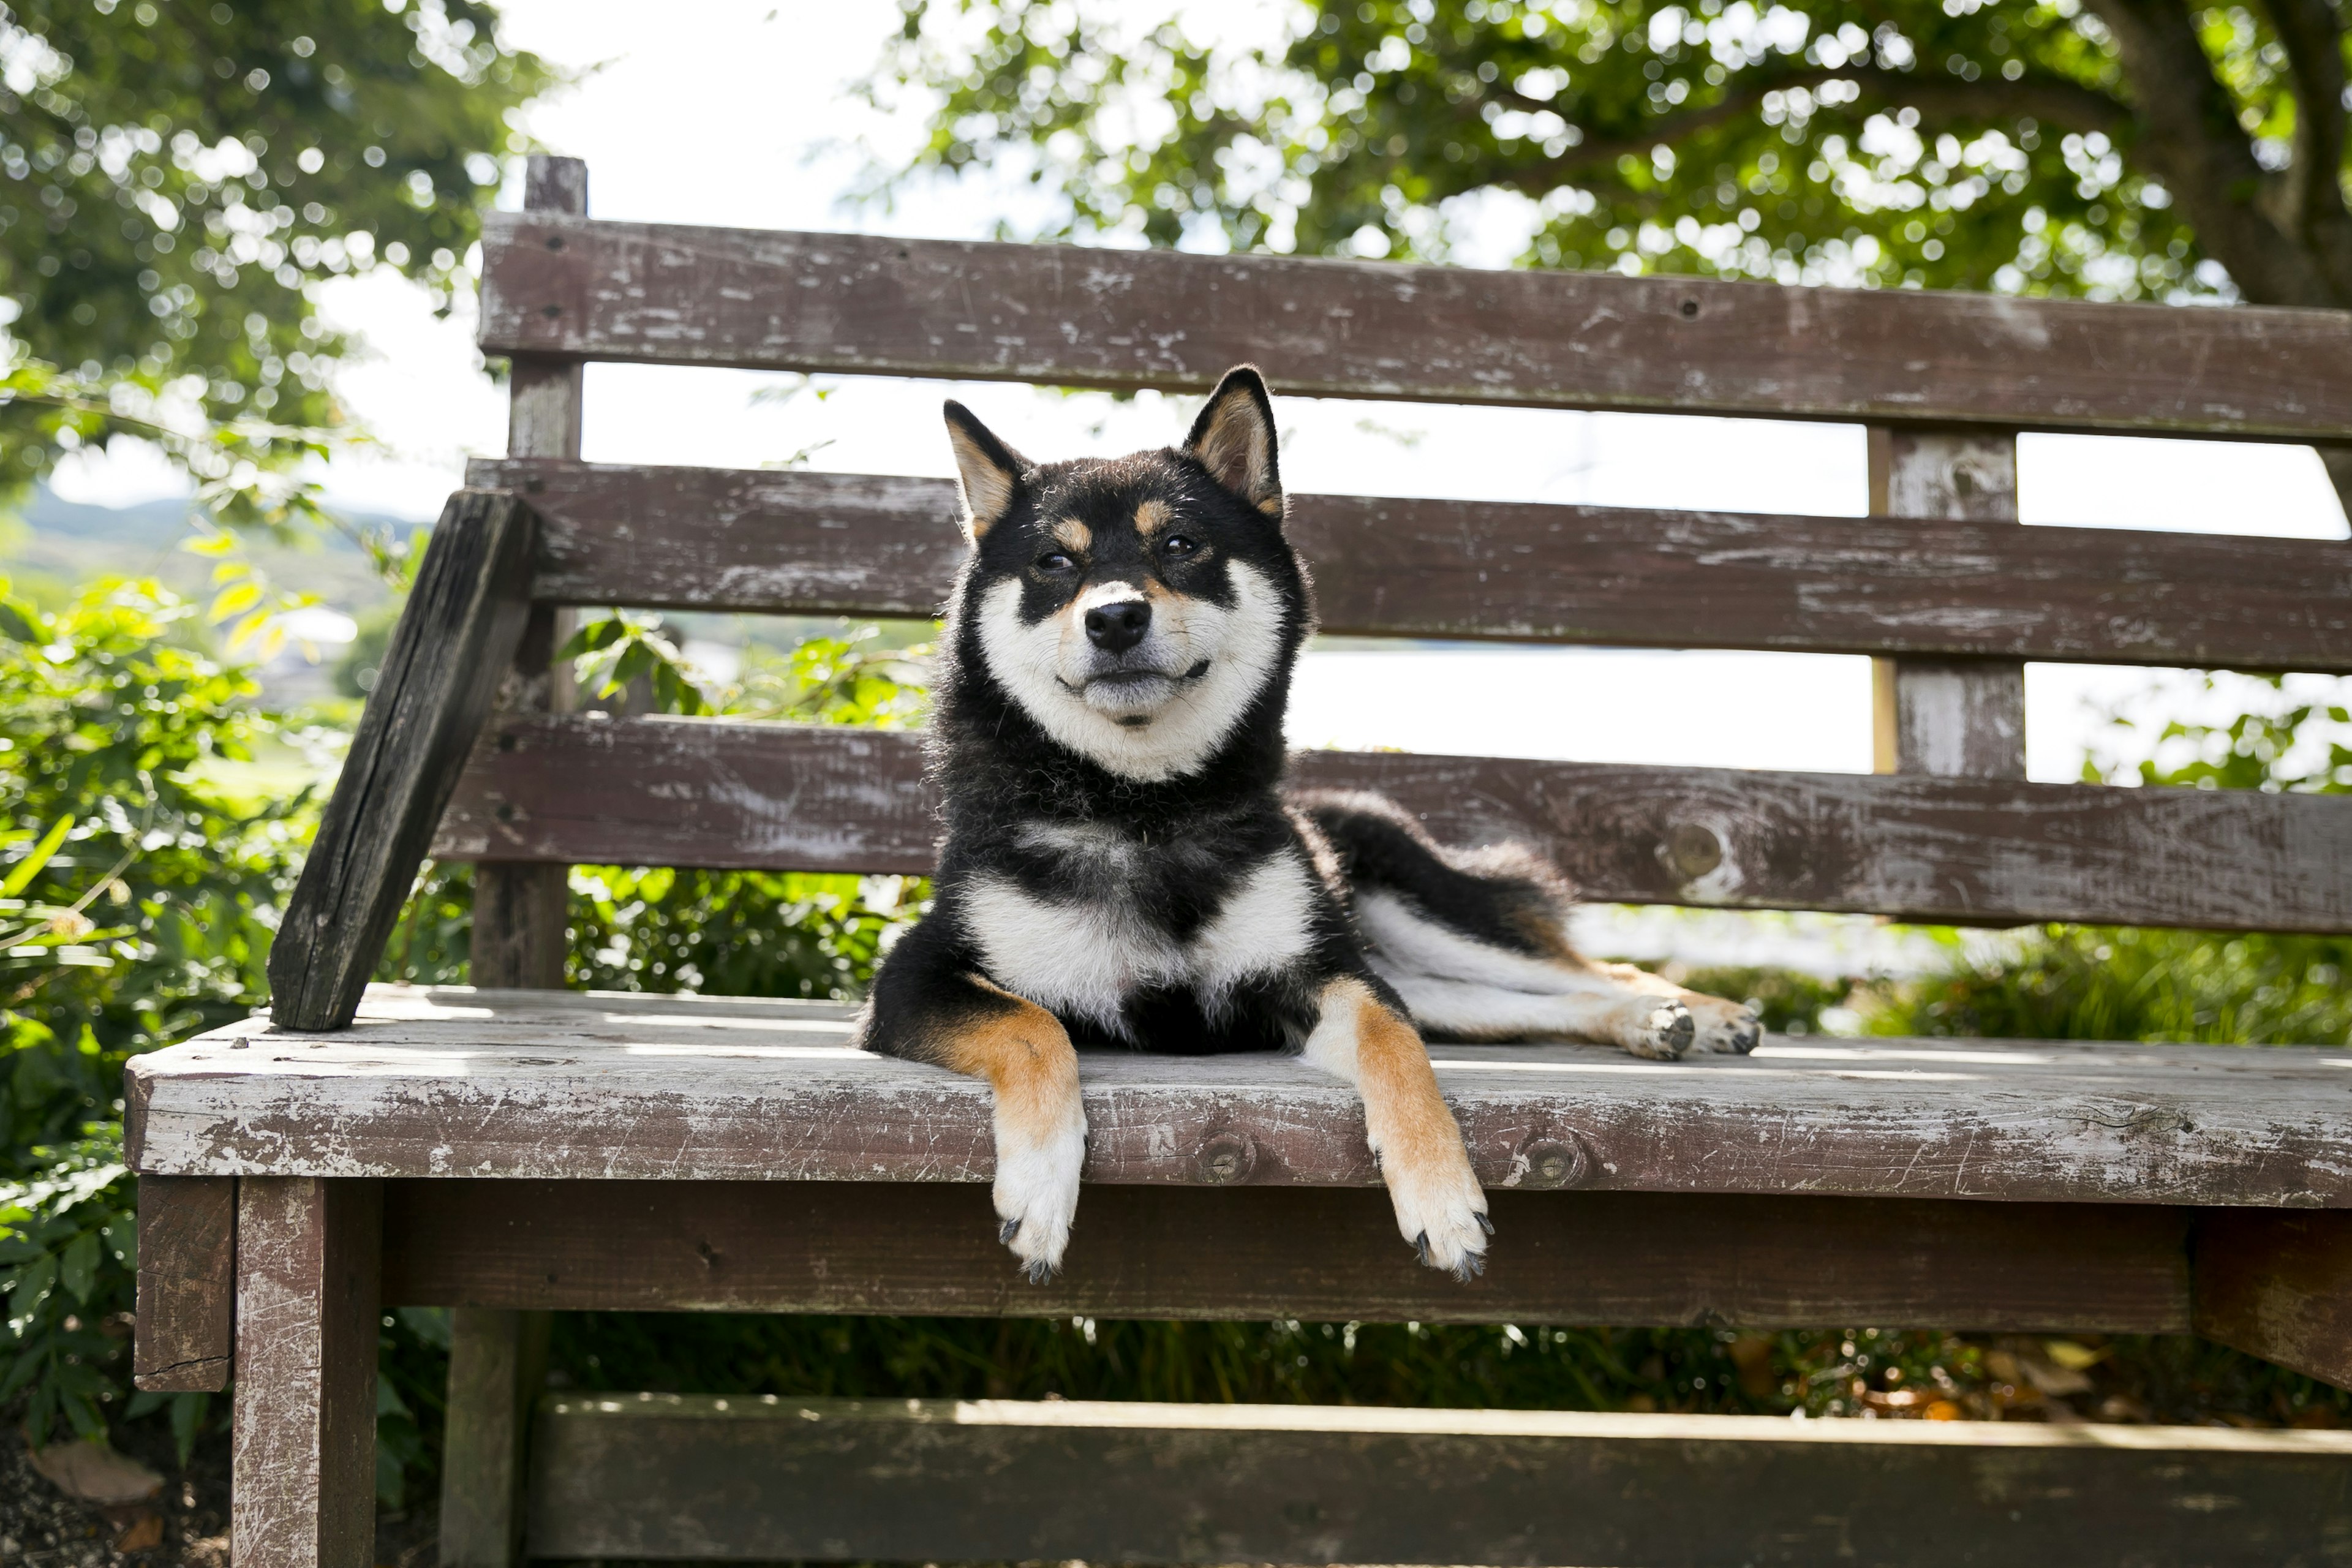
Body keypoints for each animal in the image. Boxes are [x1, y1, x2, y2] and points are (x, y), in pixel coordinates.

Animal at [856, 371, 1759, 1288]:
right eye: (1053, 562)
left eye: (1180, 543)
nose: (1114, 618)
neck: (1146, 810)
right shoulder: (913, 979)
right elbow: (1033, 1028)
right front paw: (1041, 1188)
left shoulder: (1324, 975)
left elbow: (1393, 1042)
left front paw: (1440, 1196)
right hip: (1438, 981)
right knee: (1538, 1001)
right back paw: (1657, 1024)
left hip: (1417, 919)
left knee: (1583, 969)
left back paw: (1691, 1012)